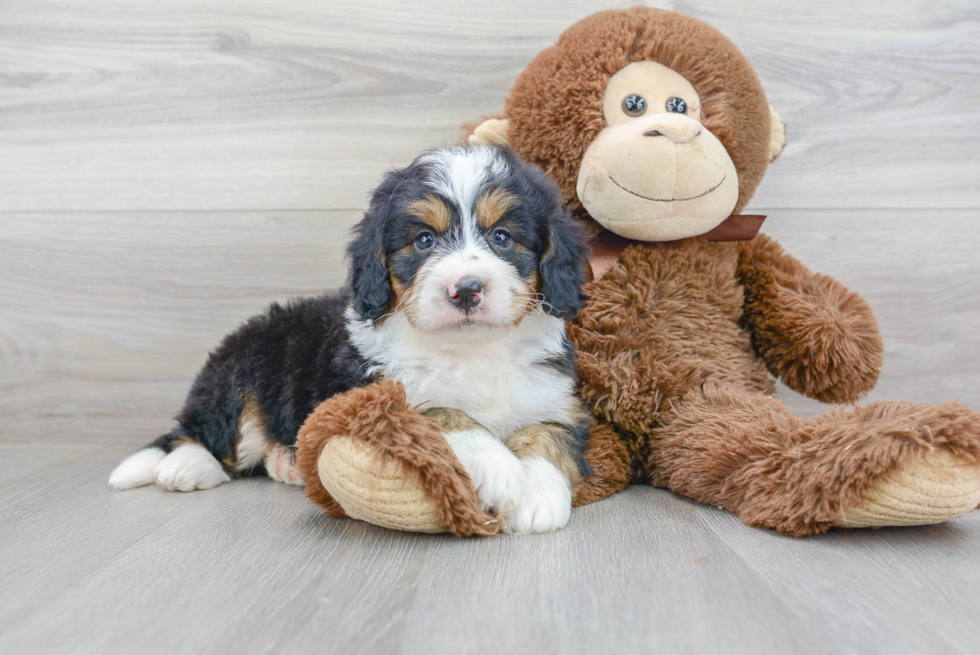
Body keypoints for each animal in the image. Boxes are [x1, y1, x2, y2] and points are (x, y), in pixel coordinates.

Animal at [112, 146, 592, 536]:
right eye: (424, 240)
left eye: (502, 237)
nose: (466, 289)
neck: (473, 351)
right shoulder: (370, 395)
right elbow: (441, 410)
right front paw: (499, 468)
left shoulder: (554, 396)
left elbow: (547, 437)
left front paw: (538, 495)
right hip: (238, 376)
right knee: (205, 431)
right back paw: (186, 465)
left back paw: (286, 462)